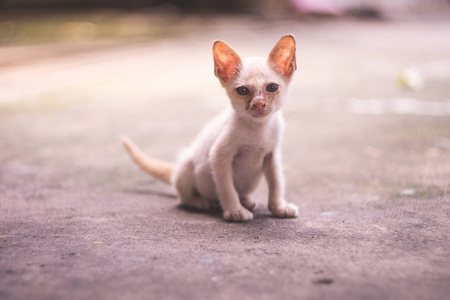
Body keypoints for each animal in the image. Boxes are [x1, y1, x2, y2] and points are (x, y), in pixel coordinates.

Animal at [123, 35, 298, 223]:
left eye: (272, 87)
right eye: (242, 90)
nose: (258, 104)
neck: (258, 128)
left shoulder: (272, 156)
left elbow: (276, 184)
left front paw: (278, 207)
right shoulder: (219, 156)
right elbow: (227, 188)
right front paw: (235, 211)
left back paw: (246, 200)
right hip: (187, 164)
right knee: (182, 198)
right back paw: (202, 202)